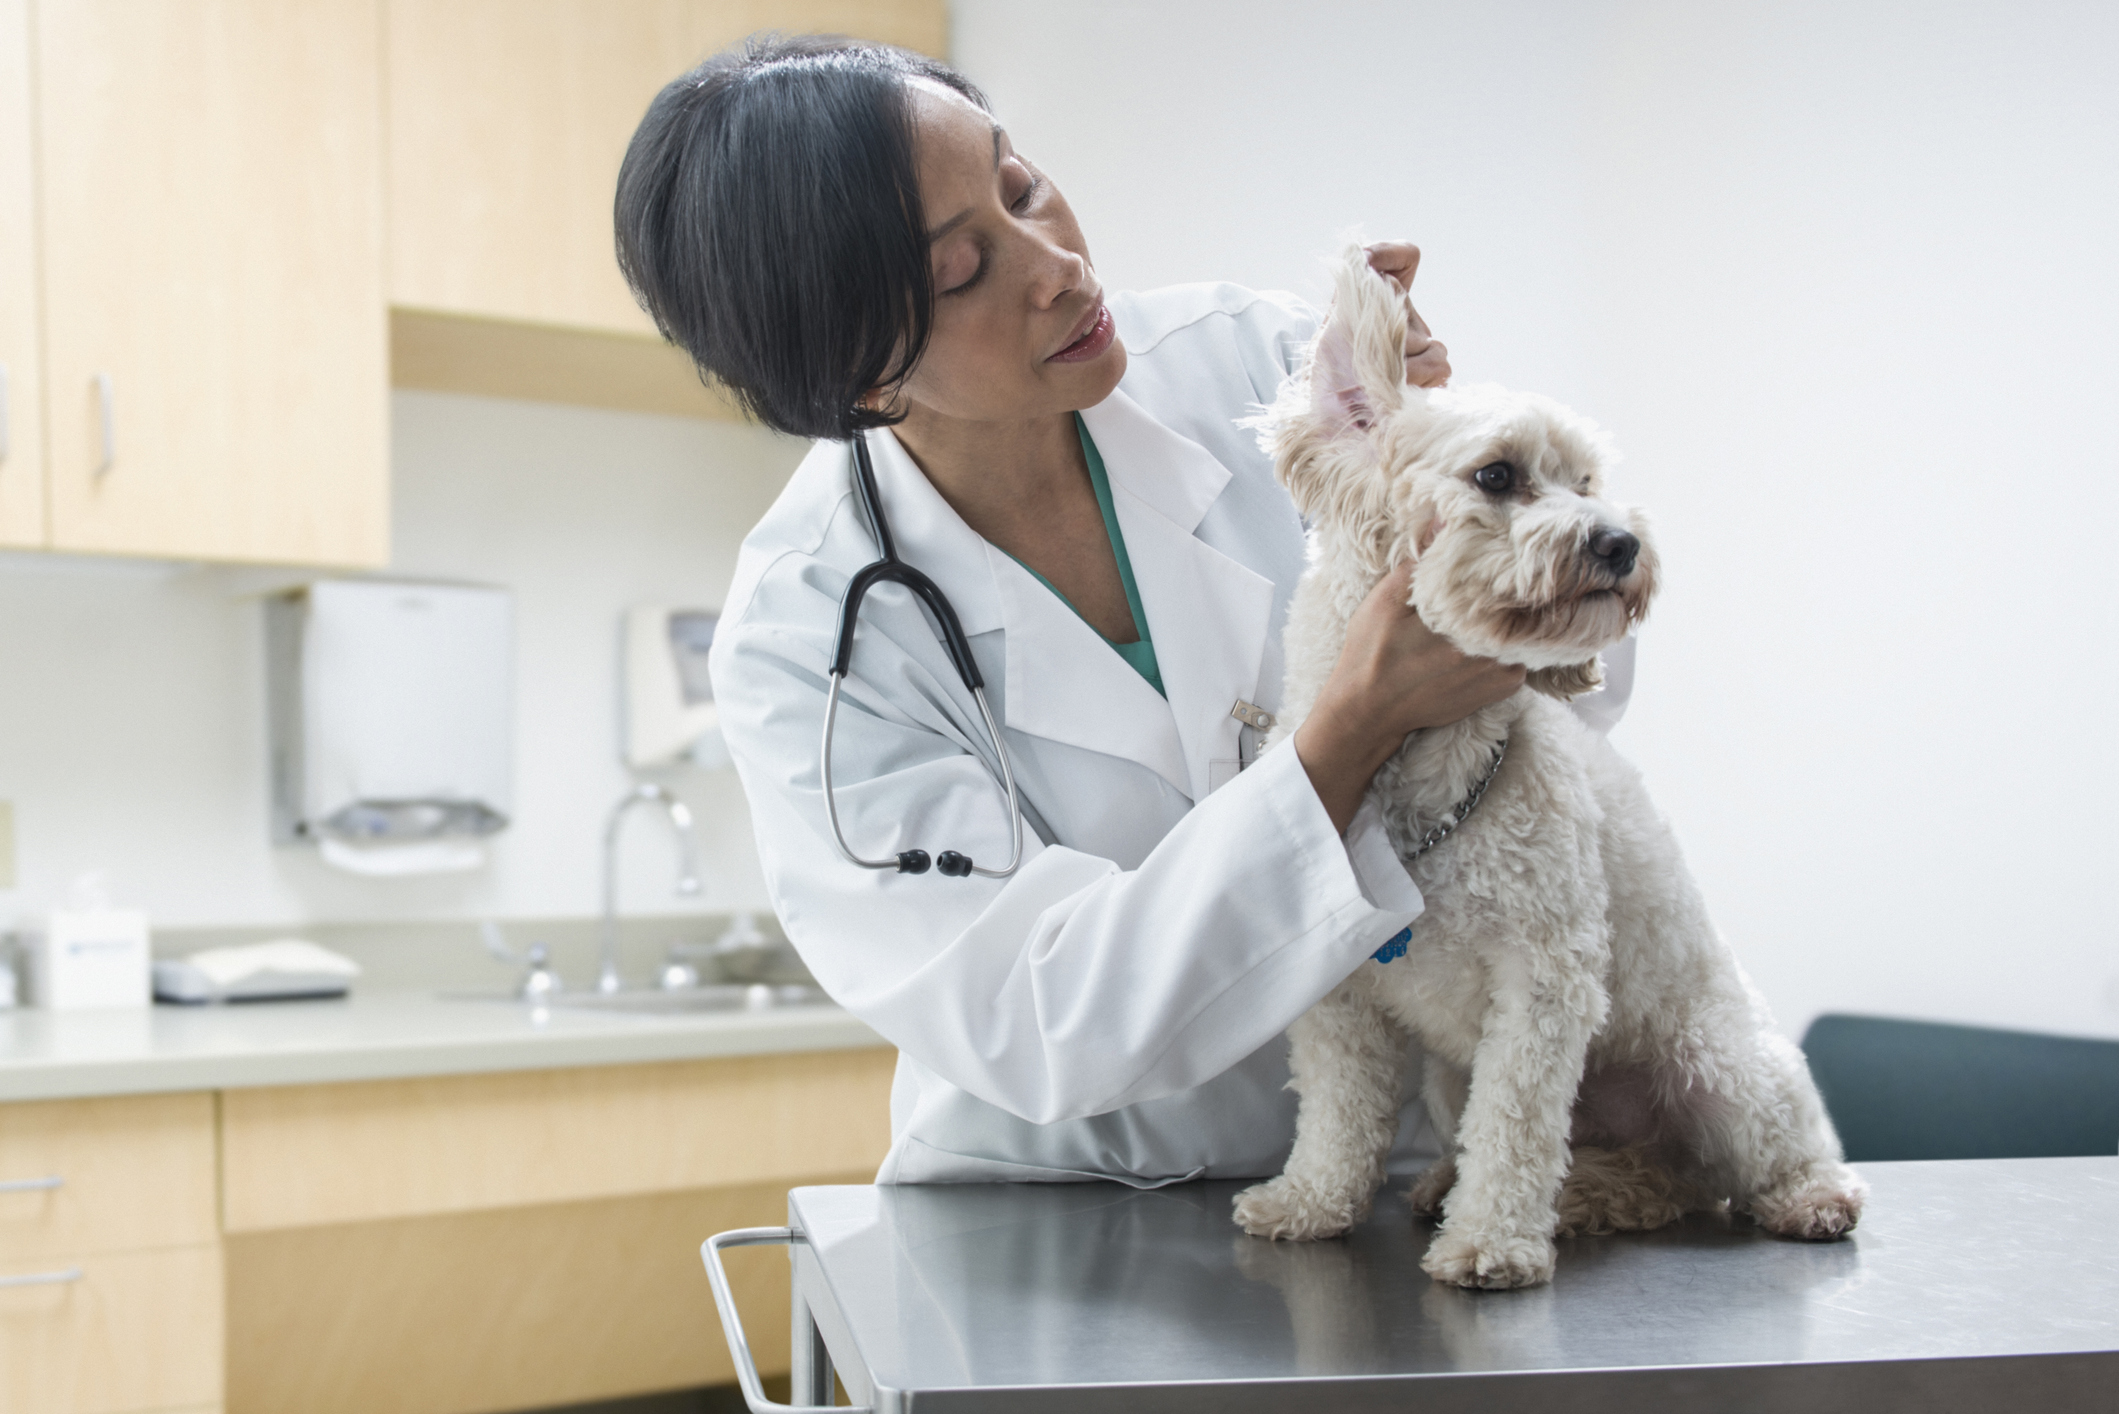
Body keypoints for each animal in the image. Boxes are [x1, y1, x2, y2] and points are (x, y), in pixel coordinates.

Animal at [1237, 249, 1864, 1288]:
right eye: (1496, 475)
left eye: (1585, 480)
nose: (1620, 541)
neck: (1426, 776)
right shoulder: (1339, 998)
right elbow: (1336, 1112)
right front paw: (1310, 1201)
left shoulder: (1546, 978)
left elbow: (1518, 1126)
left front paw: (1490, 1241)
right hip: (1454, 1080)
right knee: (1640, 1179)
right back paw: (1530, 1193)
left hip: (1719, 1066)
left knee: (1760, 1158)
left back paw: (1807, 1197)